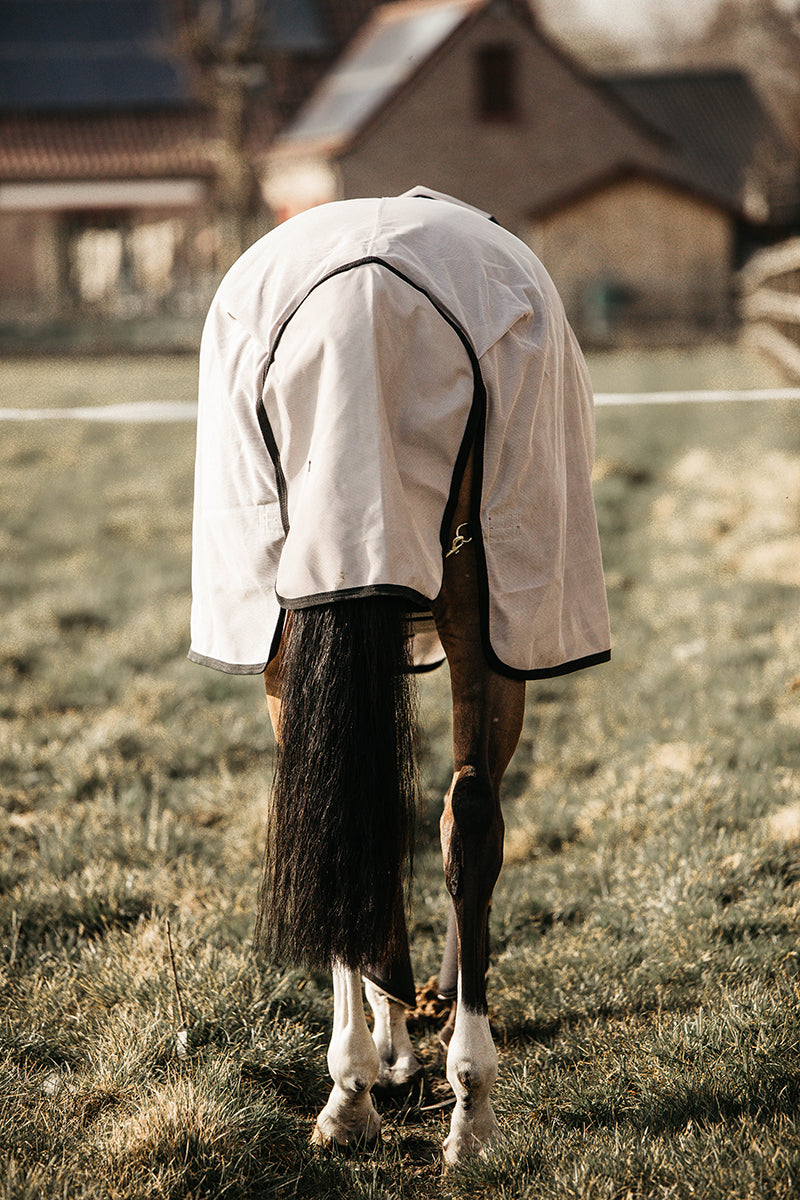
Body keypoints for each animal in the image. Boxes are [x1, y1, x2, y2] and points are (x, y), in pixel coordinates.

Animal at [189, 187, 614, 1161]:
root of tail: (369, 307)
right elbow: (462, 829)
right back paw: (470, 1103)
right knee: (472, 822)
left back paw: (349, 1095)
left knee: (349, 823)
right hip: (481, 620)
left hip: (294, 628)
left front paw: (381, 1053)